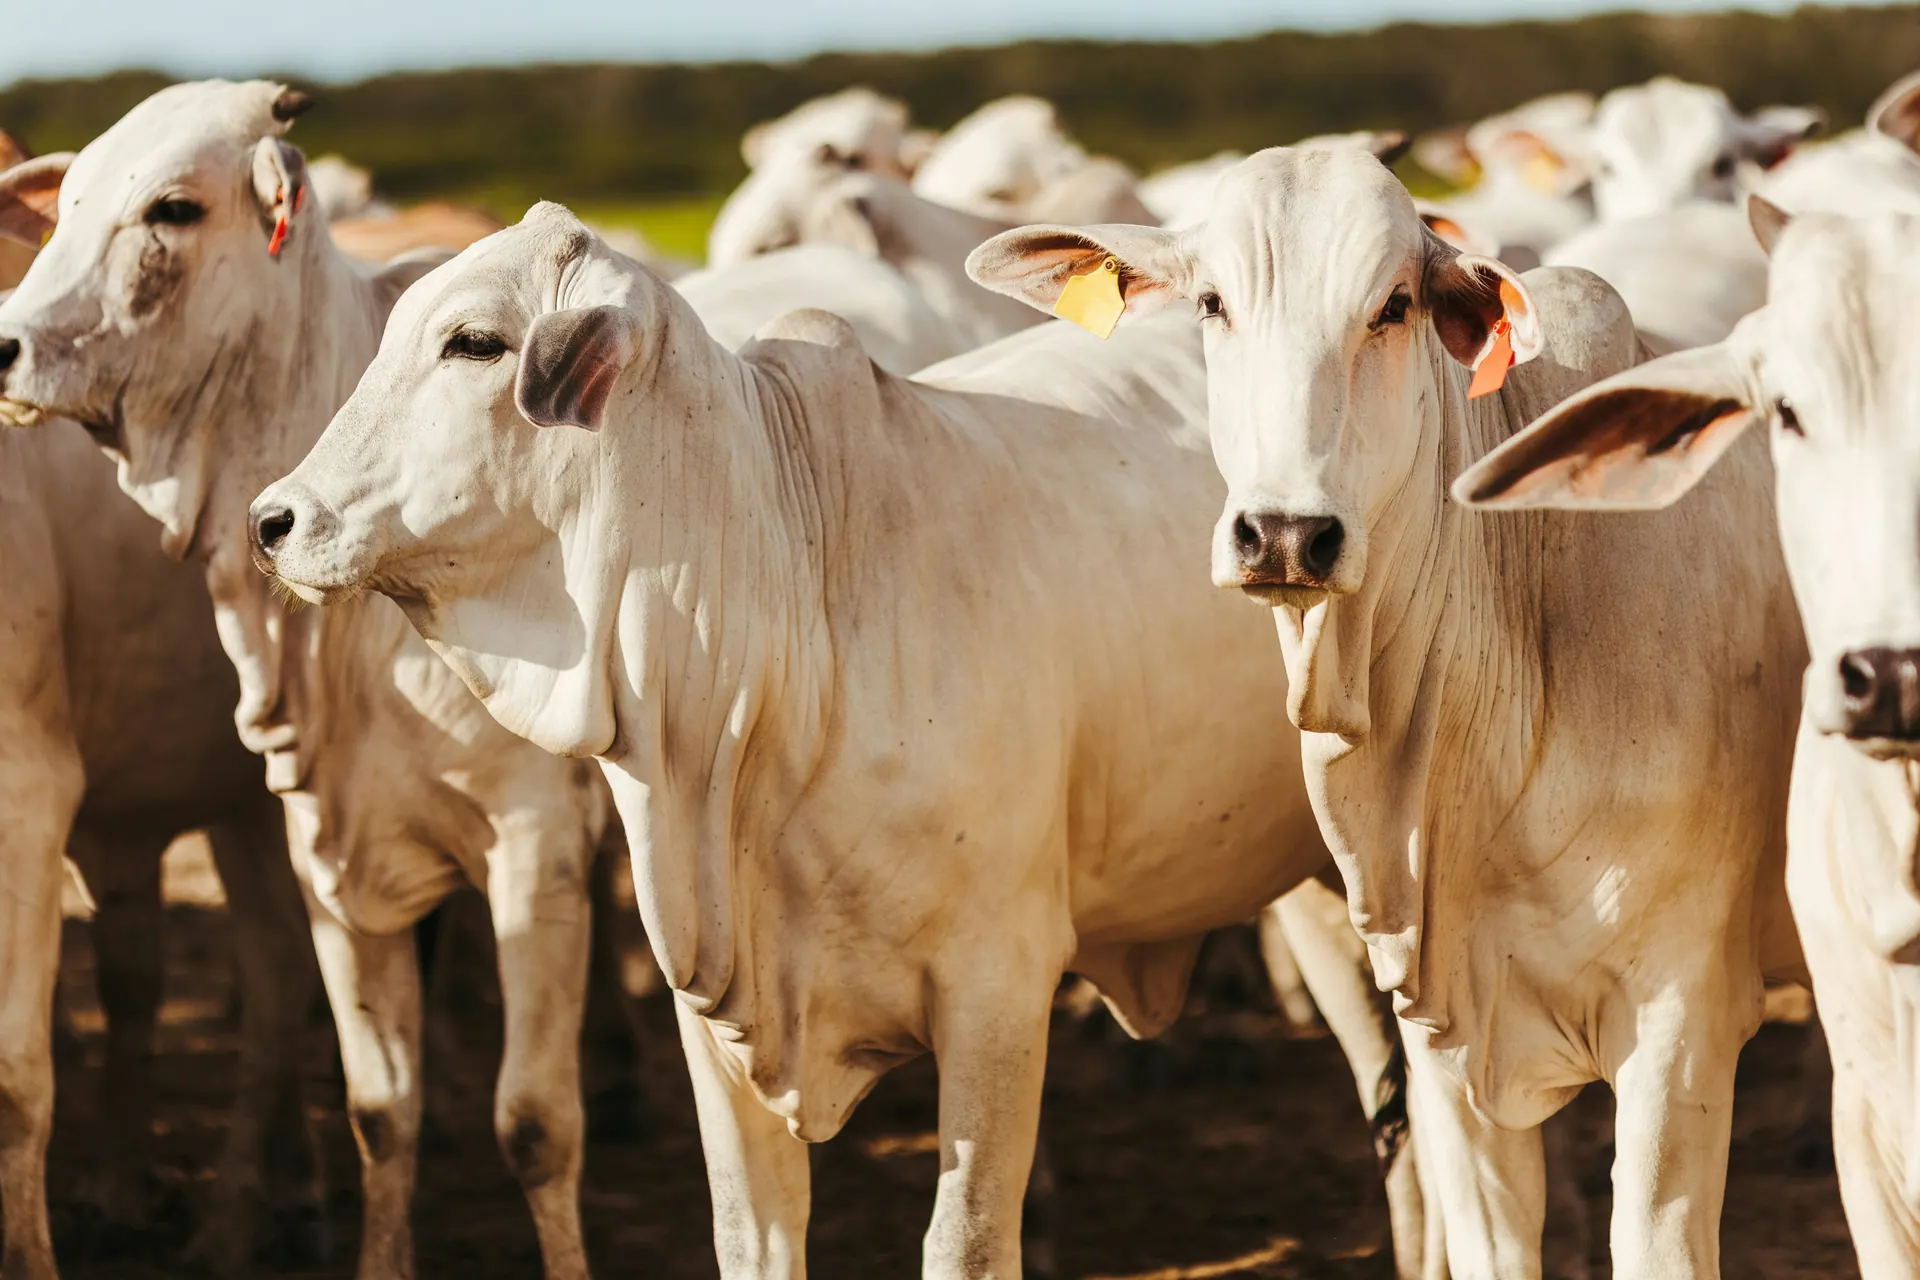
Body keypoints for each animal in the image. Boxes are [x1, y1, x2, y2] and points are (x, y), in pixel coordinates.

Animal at [0, 80, 627, 1279]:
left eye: (174, 207)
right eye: (70, 201)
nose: (4, 346)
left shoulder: (537, 841)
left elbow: (536, 1125)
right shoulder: (317, 839)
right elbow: (381, 1108)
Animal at [247, 201, 1439, 1279]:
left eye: (474, 341)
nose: (272, 521)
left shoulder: (999, 989)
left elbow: (967, 1245)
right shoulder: (716, 1016)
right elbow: (750, 1240)